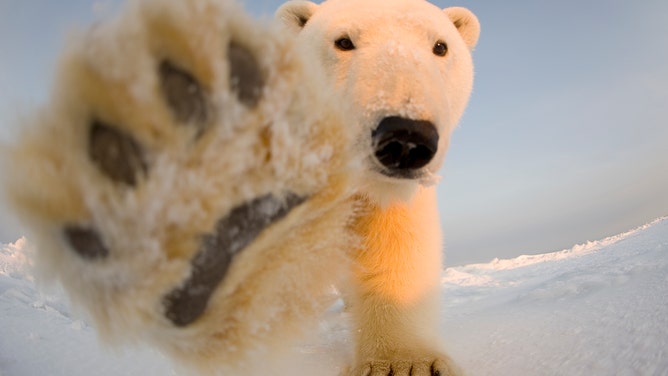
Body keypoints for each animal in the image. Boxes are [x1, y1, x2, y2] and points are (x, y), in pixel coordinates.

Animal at [278, 0, 480, 374]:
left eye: (440, 46)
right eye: (343, 41)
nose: (406, 138)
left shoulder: (382, 191)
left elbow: (393, 245)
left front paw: (406, 363)